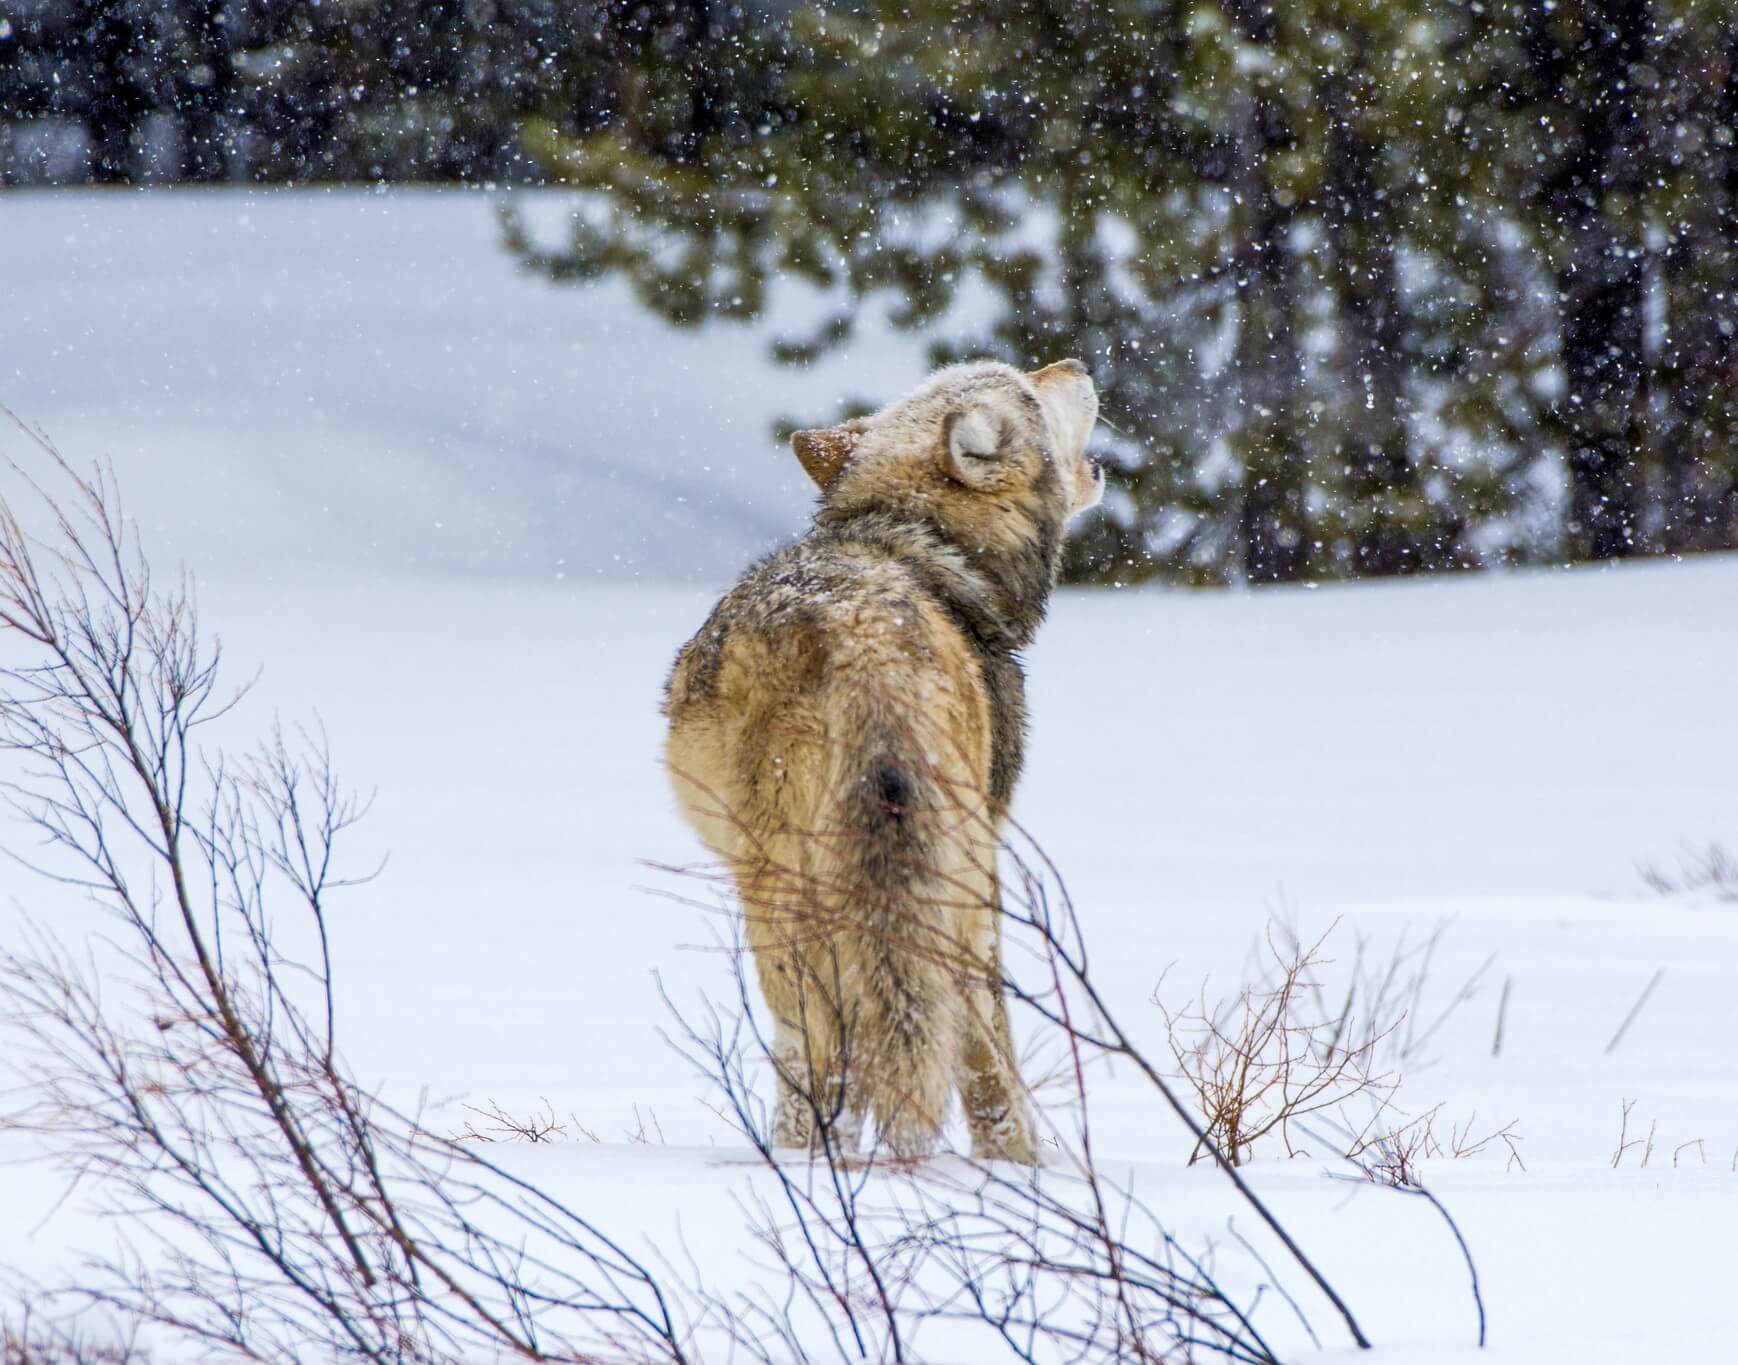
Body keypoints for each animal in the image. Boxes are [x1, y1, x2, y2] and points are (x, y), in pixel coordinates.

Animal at [663, 359, 1102, 1163]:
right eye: (1024, 386)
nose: (1076, 365)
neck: (922, 544)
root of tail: (863, 646)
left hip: (785, 896)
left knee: (827, 1052)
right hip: (951, 880)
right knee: (948, 1037)